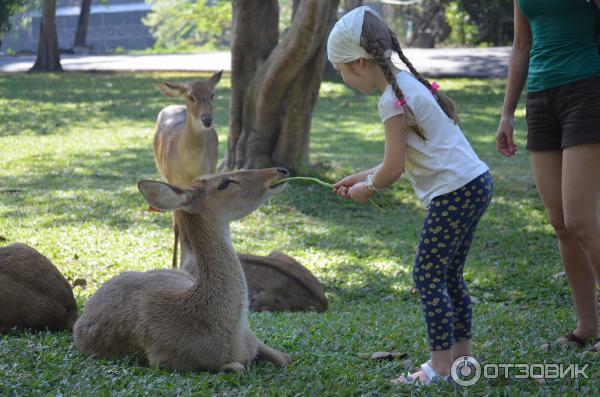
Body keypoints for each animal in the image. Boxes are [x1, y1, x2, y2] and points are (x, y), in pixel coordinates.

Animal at [71, 167, 292, 372]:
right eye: (224, 183)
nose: (280, 170)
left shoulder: (252, 338)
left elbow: (284, 358)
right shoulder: (167, 360)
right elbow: (237, 367)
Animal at [154, 72, 221, 266]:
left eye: (212, 95)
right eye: (191, 97)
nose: (207, 119)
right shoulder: (173, 182)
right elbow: (177, 224)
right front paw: (175, 264)